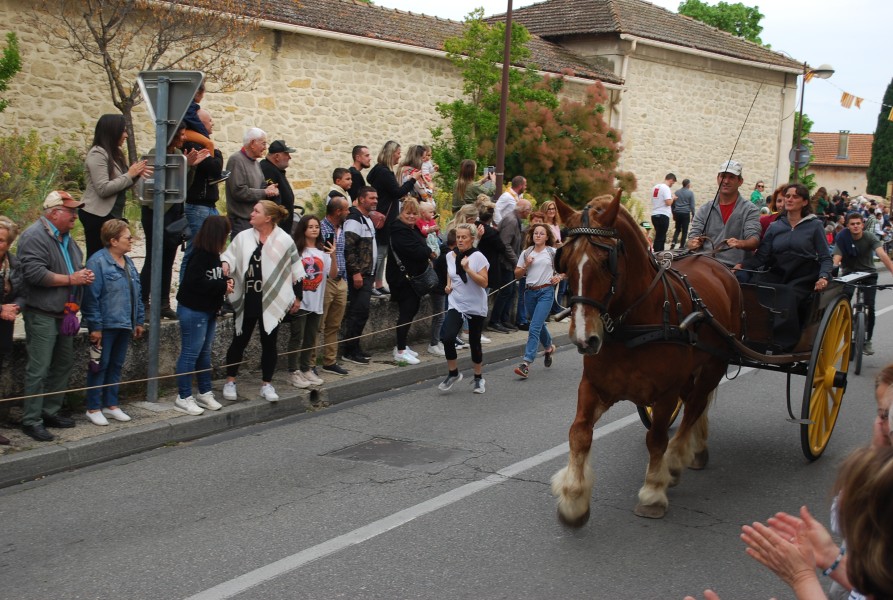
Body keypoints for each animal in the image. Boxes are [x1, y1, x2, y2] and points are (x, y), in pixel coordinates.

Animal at [552, 192, 744, 524]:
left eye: (605, 262)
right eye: (565, 263)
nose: (584, 339)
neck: (635, 323)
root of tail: (713, 260)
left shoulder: (666, 394)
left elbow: (656, 439)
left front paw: (653, 491)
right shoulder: (593, 386)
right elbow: (579, 433)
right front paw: (574, 497)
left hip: (713, 366)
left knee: (694, 407)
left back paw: (677, 460)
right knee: (696, 404)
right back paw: (698, 448)